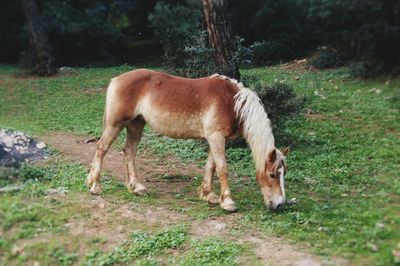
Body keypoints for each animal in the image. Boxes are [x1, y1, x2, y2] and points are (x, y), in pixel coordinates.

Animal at [86, 69, 290, 212]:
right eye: (272, 174)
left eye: (283, 174)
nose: (280, 204)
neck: (231, 101)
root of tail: (116, 79)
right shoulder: (216, 137)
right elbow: (222, 168)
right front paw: (228, 202)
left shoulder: (215, 138)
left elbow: (211, 166)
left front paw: (209, 195)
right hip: (116, 124)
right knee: (101, 148)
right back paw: (95, 186)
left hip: (136, 125)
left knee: (129, 152)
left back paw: (136, 187)